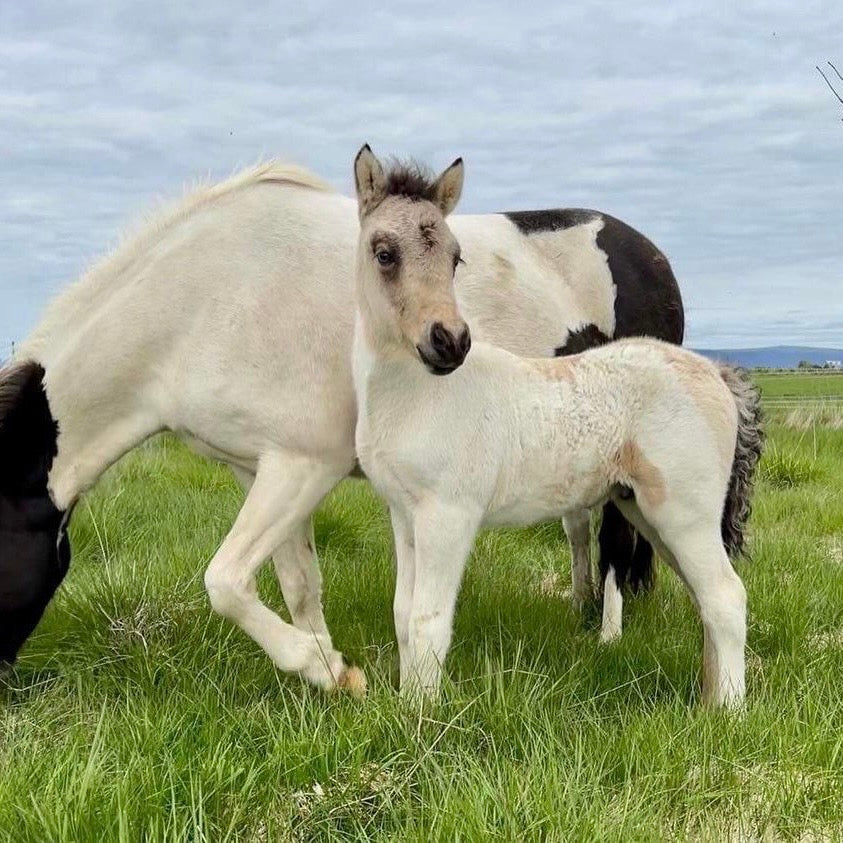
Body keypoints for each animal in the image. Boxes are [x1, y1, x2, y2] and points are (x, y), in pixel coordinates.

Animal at [1, 157, 683, 690]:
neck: (202, 305)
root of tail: (651, 255)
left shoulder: (303, 465)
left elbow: (226, 581)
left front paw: (324, 669)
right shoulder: (260, 471)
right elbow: (297, 585)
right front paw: (326, 674)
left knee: (617, 541)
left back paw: (606, 639)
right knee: (580, 530)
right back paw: (580, 610)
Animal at [351, 146, 762, 707]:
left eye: (456, 258)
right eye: (384, 252)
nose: (449, 343)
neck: (416, 395)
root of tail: (714, 373)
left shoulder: (448, 515)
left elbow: (428, 619)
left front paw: (421, 716)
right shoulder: (404, 515)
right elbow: (402, 614)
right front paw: (405, 704)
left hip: (684, 513)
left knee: (725, 596)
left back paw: (728, 711)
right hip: (648, 513)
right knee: (706, 597)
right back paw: (707, 697)